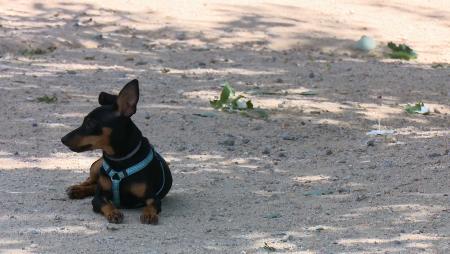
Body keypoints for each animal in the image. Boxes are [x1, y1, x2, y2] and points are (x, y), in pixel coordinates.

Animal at [60, 80, 171, 224]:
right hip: (96, 166)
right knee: (90, 181)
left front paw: (149, 214)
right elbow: (106, 204)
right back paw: (76, 189)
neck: (119, 160)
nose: (63, 139)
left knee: (94, 186)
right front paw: (113, 213)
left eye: (90, 123)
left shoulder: (153, 197)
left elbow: (151, 205)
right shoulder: (98, 199)